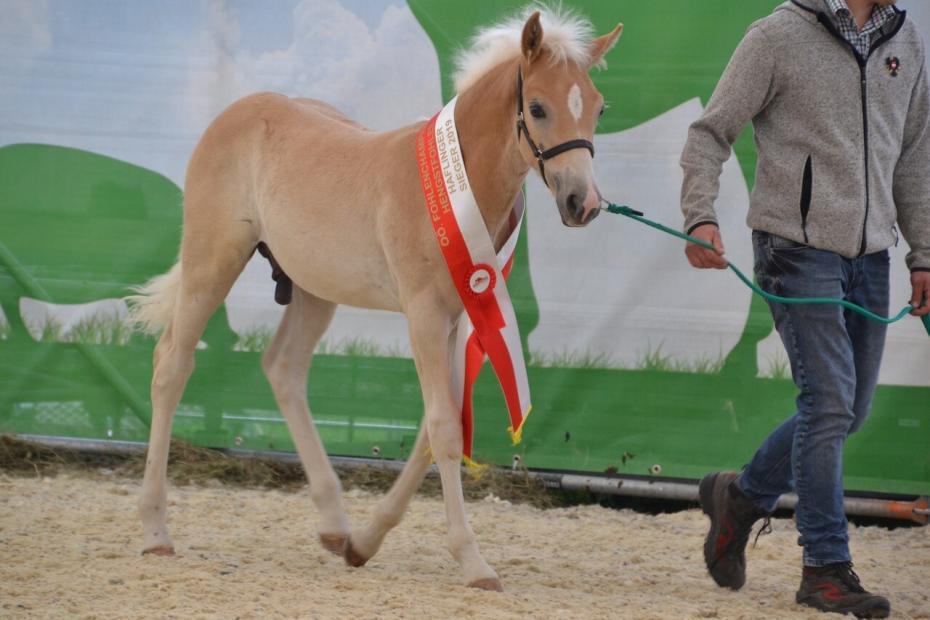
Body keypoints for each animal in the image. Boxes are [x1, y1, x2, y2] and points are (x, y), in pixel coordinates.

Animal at [130, 10, 620, 592]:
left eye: (598, 107)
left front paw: (365, 543)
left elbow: (434, 429)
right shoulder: (424, 315)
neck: (458, 183)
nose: (582, 203)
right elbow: (445, 430)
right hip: (214, 260)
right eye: (539, 107)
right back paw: (155, 532)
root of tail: (237, 112)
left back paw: (335, 526)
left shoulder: (459, 317)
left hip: (314, 288)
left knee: (283, 367)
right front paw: (474, 562)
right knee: (170, 365)